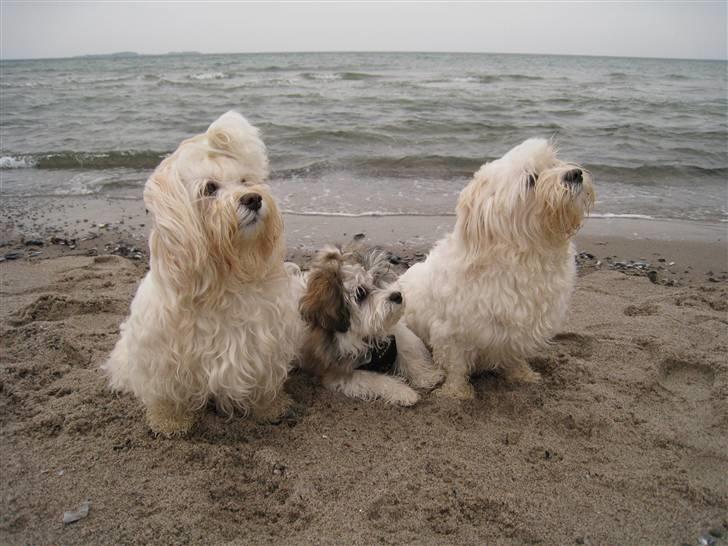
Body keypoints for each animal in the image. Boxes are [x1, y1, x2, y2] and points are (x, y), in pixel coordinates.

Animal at [101, 110, 300, 434]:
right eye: (209, 188)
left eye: (245, 181)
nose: (253, 198)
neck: (225, 277)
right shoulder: (163, 352)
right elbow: (167, 392)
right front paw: (169, 421)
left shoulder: (265, 340)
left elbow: (264, 380)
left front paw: (270, 407)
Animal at [296, 243, 444, 404]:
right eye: (361, 294)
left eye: (376, 279)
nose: (397, 296)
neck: (365, 335)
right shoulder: (337, 370)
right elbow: (373, 379)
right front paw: (402, 391)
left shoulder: (393, 334)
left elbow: (407, 351)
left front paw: (426, 375)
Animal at [400, 138, 596, 398]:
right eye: (531, 179)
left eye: (554, 163)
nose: (575, 174)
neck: (524, 257)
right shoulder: (451, 333)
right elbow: (455, 366)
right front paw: (456, 393)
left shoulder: (519, 328)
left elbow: (515, 355)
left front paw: (523, 375)